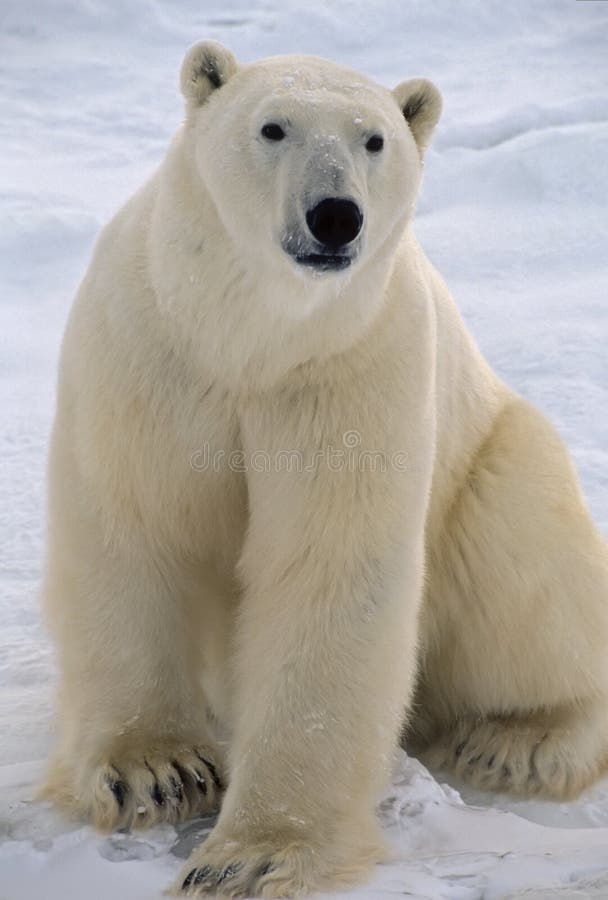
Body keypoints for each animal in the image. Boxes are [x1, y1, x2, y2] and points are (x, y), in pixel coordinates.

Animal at [41, 38, 608, 896]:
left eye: (374, 140)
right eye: (273, 126)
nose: (335, 216)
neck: (250, 337)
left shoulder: (351, 367)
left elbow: (328, 568)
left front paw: (252, 854)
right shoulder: (152, 350)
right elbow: (132, 525)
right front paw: (157, 772)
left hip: (496, 460)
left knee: (528, 570)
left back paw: (517, 741)